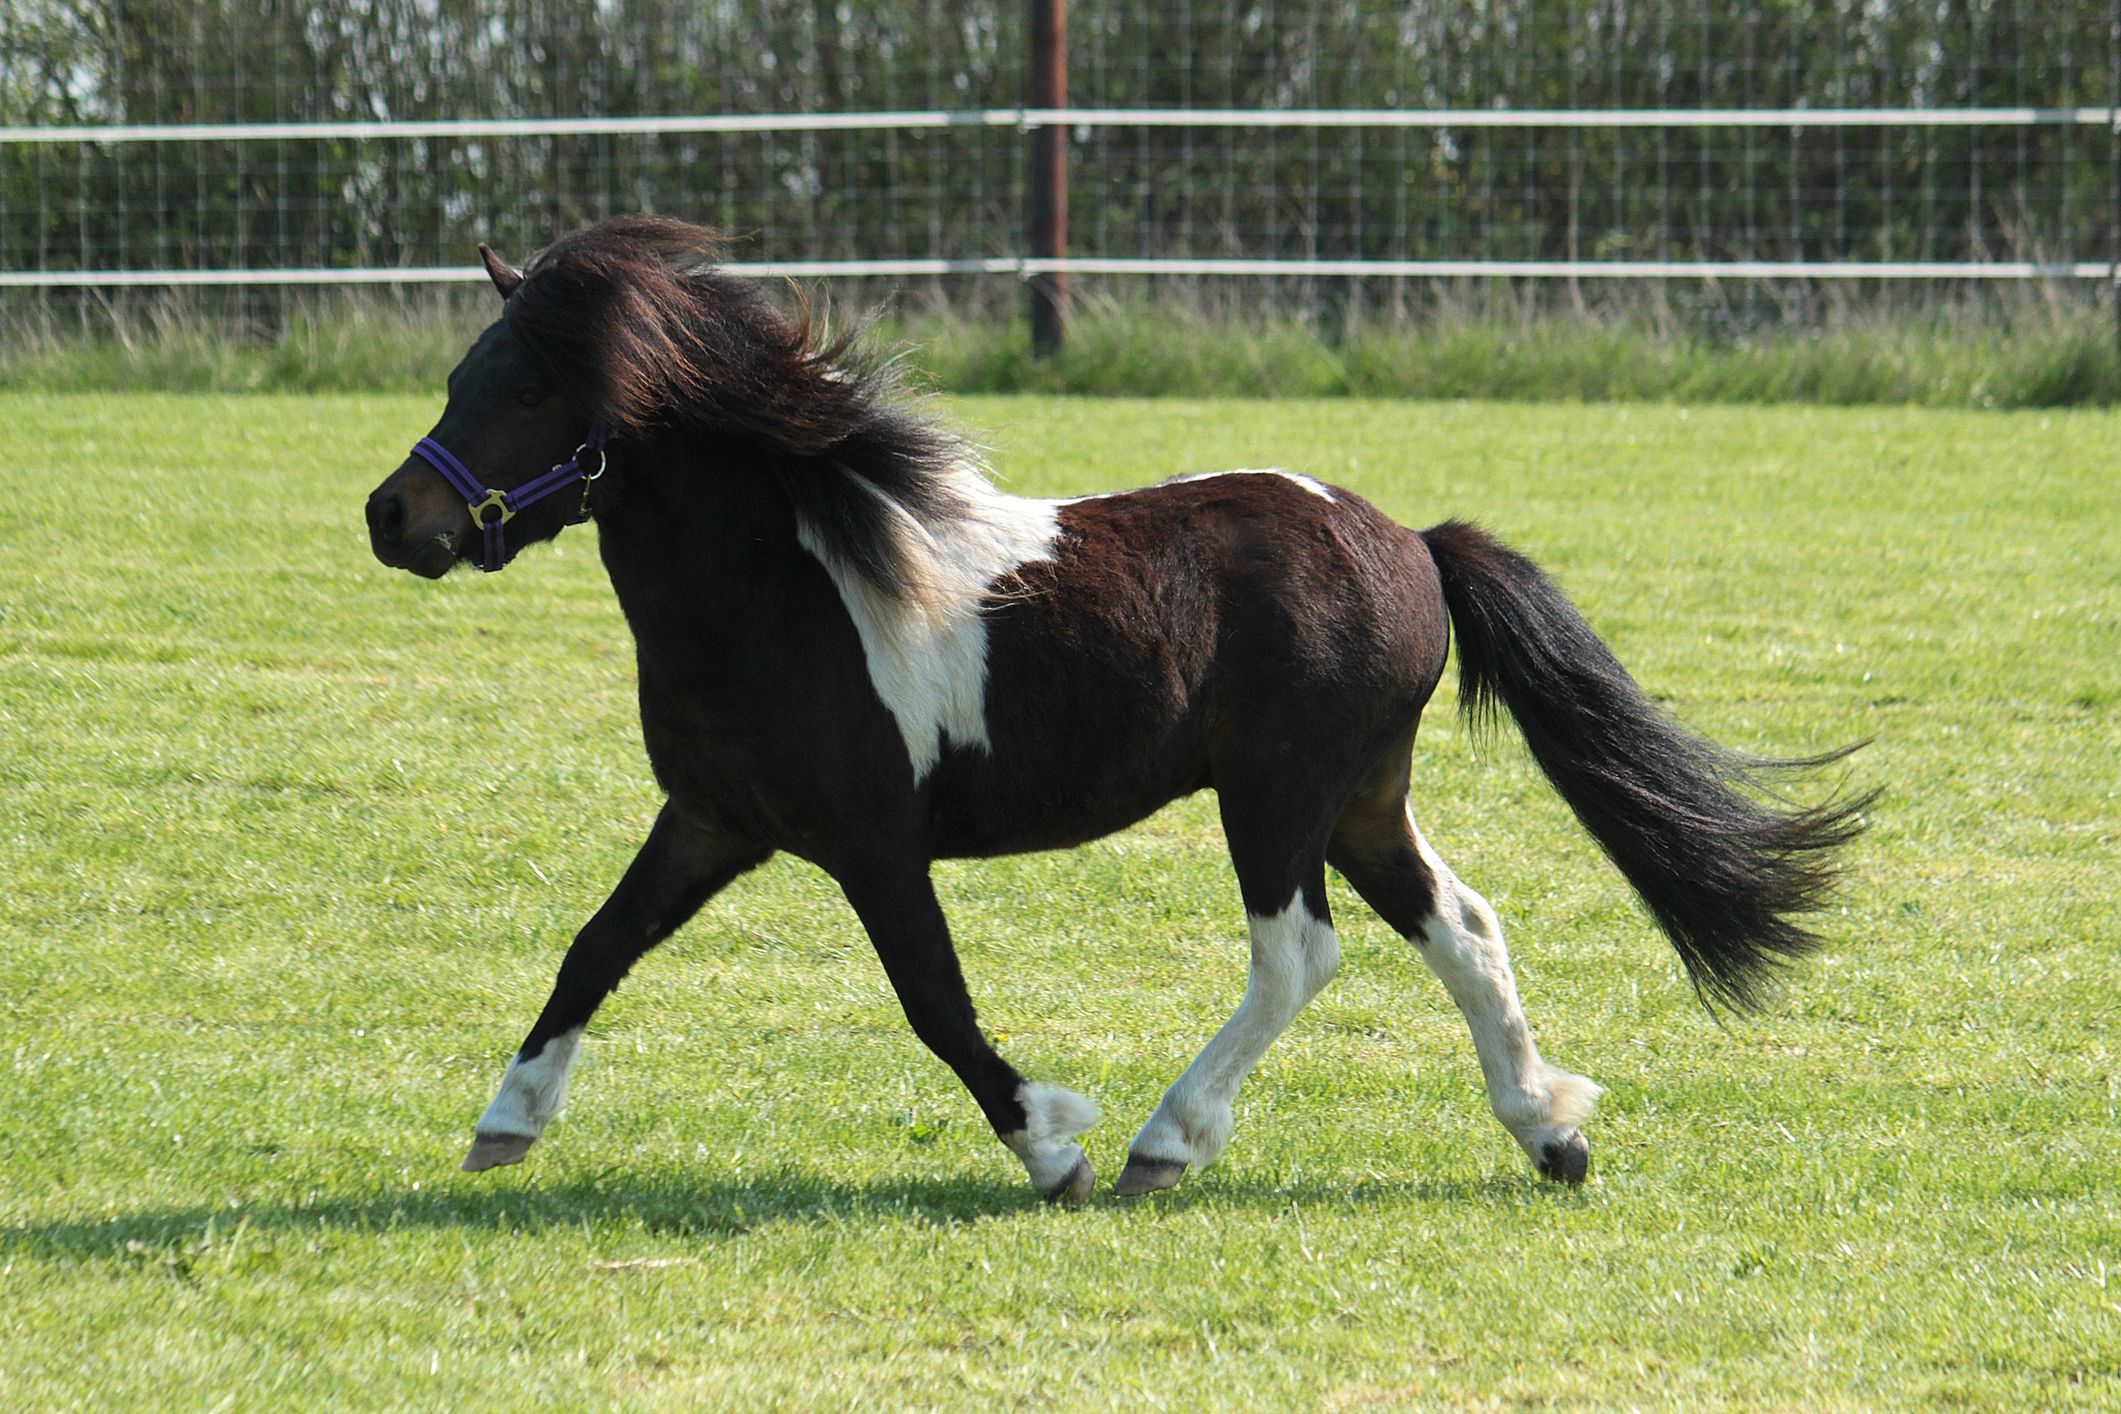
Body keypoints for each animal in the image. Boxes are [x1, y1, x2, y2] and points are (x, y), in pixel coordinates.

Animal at [363, 217, 1867, 1202]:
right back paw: (1549, 1131)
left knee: (1298, 954)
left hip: (1277, 793)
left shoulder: (869, 841)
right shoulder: (713, 819)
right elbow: (594, 948)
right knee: (1465, 926)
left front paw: (1054, 1146)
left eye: (531, 386)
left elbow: (935, 1001)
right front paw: (506, 1122)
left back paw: (1165, 1139)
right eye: (459, 375)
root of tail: (1409, 542)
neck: (785, 588)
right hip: (1360, 797)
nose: (393, 515)